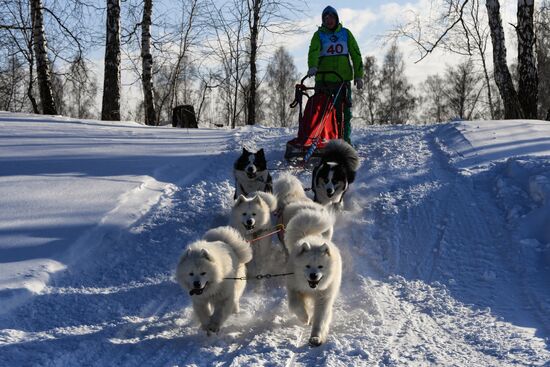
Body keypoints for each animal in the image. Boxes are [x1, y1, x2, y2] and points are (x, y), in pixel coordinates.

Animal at [284, 210, 340, 348]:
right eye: (307, 266)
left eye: (320, 266)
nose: (313, 275)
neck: (311, 289)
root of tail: (310, 235)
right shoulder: (293, 289)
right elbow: (296, 305)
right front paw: (306, 318)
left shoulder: (323, 298)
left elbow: (320, 319)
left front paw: (315, 338)